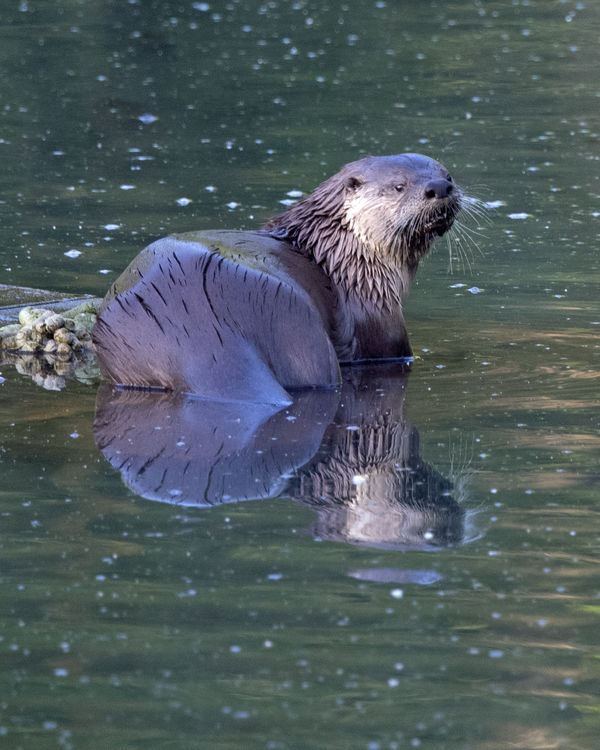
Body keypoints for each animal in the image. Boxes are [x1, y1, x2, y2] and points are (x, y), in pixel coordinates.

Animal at [93, 153, 461, 404]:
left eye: (448, 175)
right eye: (399, 186)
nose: (439, 187)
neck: (345, 261)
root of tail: (200, 331)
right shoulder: (384, 328)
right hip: (303, 336)